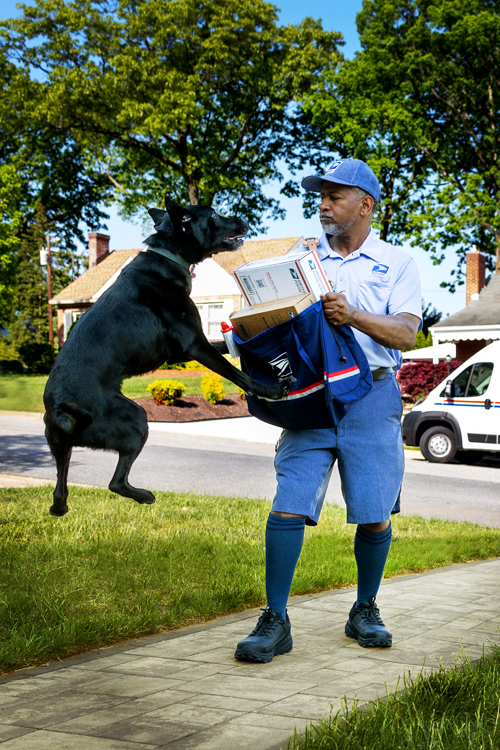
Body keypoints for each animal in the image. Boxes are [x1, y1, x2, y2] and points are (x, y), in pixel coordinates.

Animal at [45, 198, 292, 516]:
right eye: (213, 214)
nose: (243, 221)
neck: (169, 257)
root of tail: (60, 411)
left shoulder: (182, 353)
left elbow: (237, 351)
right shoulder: (194, 345)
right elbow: (237, 373)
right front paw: (271, 389)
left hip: (61, 449)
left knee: (59, 493)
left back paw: (64, 506)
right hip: (136, 419)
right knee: (115, 483)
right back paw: (145, 496)